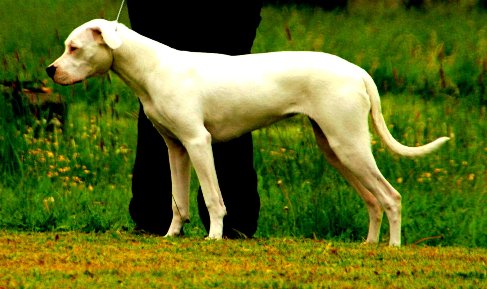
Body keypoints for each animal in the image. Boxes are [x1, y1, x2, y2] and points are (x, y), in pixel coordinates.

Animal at [46, 18, 450, 245]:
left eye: (74, 48)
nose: (51, 70)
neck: (152, 68)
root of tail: (356, 70)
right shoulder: (176, 148)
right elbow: (177, 201)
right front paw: (172, 234)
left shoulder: (199, 142)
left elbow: (213, 198)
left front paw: (213, 238)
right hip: (337, 150)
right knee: (373, 200)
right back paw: (369, 244)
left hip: (349, 146)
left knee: (391, 196)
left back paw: (393, 248)